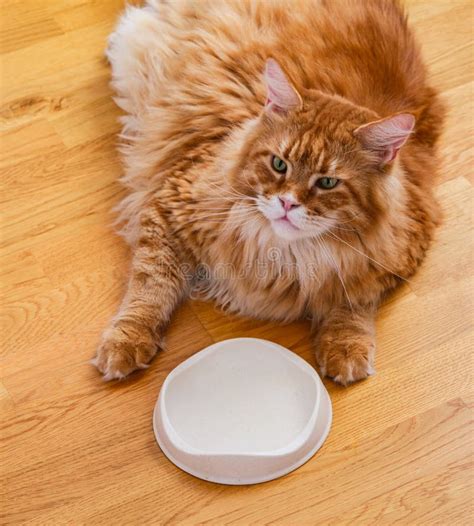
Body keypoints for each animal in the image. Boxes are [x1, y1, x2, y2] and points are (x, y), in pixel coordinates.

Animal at [92, 1, 444, 388]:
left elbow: (353, 301)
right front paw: (126, 341)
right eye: (279, 164)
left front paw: (346, 348)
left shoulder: (395, 251)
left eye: (327, 183)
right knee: (135, 20)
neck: (288, 255)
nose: (288, 203)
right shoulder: (171, 204)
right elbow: (150, 285)